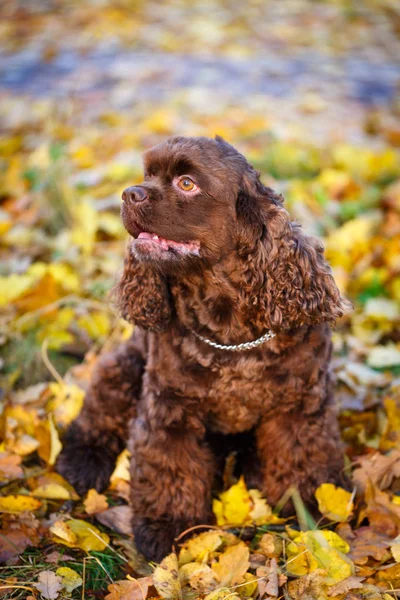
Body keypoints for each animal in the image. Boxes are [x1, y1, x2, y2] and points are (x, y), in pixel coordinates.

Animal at [56, 137, 350, 564]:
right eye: (148, 175)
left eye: (187, 183)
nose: (129, 193)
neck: (232, 333)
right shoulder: (170, 409)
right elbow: (171, 469)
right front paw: (169, 529)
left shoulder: (301, 404)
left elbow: (303, 459)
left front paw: (311, 507)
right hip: (122, 367)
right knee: (97, 416)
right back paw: (82, 462)